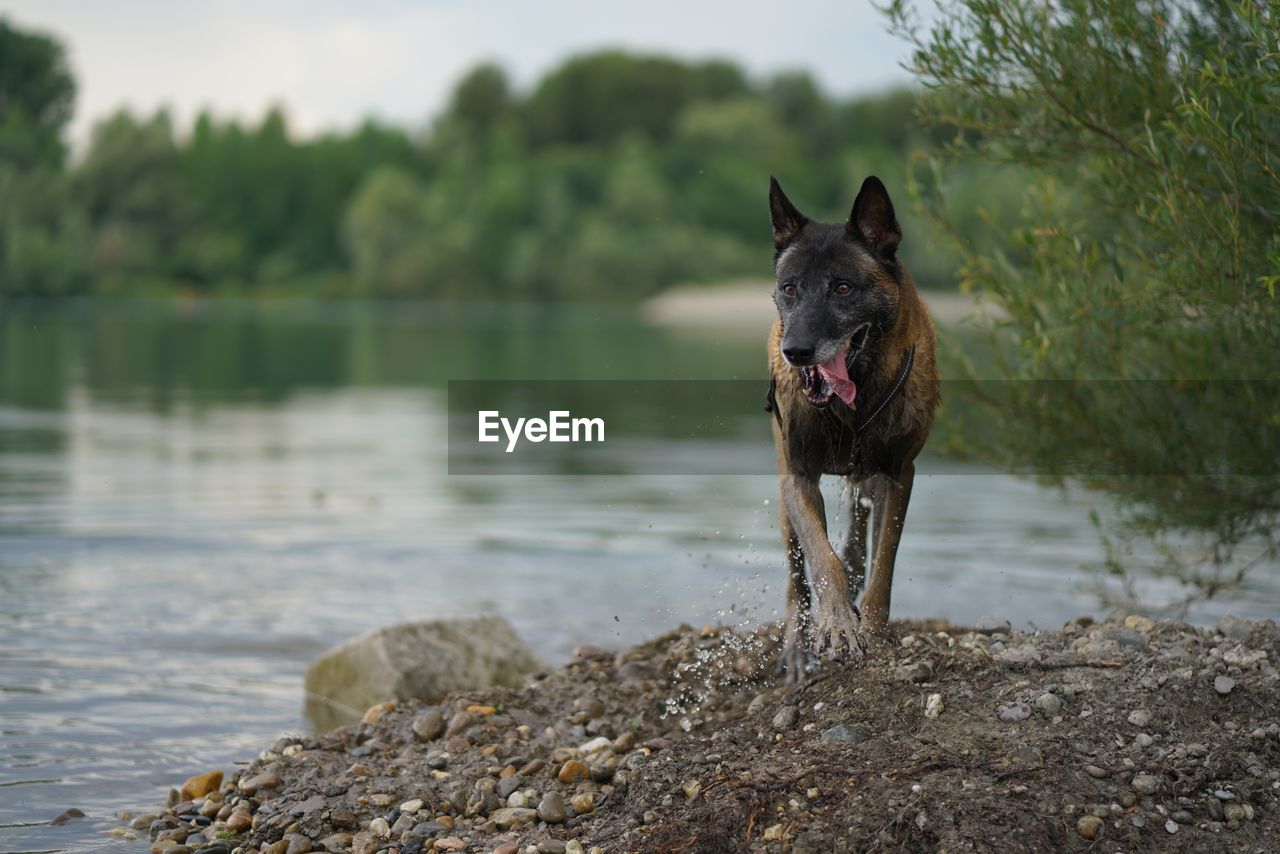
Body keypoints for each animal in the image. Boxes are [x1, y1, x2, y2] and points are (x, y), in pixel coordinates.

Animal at [762, 176, 936, 676]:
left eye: (842, 288)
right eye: (790, 288)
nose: (795, 352)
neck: (851, 409)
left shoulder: (898, 475)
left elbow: (884, 565)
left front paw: (873, 629)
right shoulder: (799, 477)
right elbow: (823, 561)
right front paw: (837, 625)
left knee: (862, 526)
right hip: (784, 494)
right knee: (798, 575)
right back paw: (797, 645)